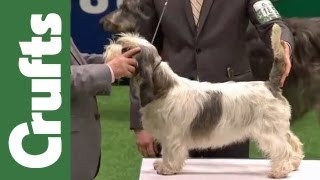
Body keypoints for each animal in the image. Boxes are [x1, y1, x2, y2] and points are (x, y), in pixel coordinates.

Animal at [105, 24, 304, 179]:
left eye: (125, 48)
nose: (107, 48)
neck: (164, 86)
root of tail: (270, 84)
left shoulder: (172, 136)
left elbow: (171, 152)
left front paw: (167, 168)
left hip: (269, 131)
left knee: (282, 148)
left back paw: (280, 170)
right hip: (278, 127)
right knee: (293, 141)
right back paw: (293, 163)